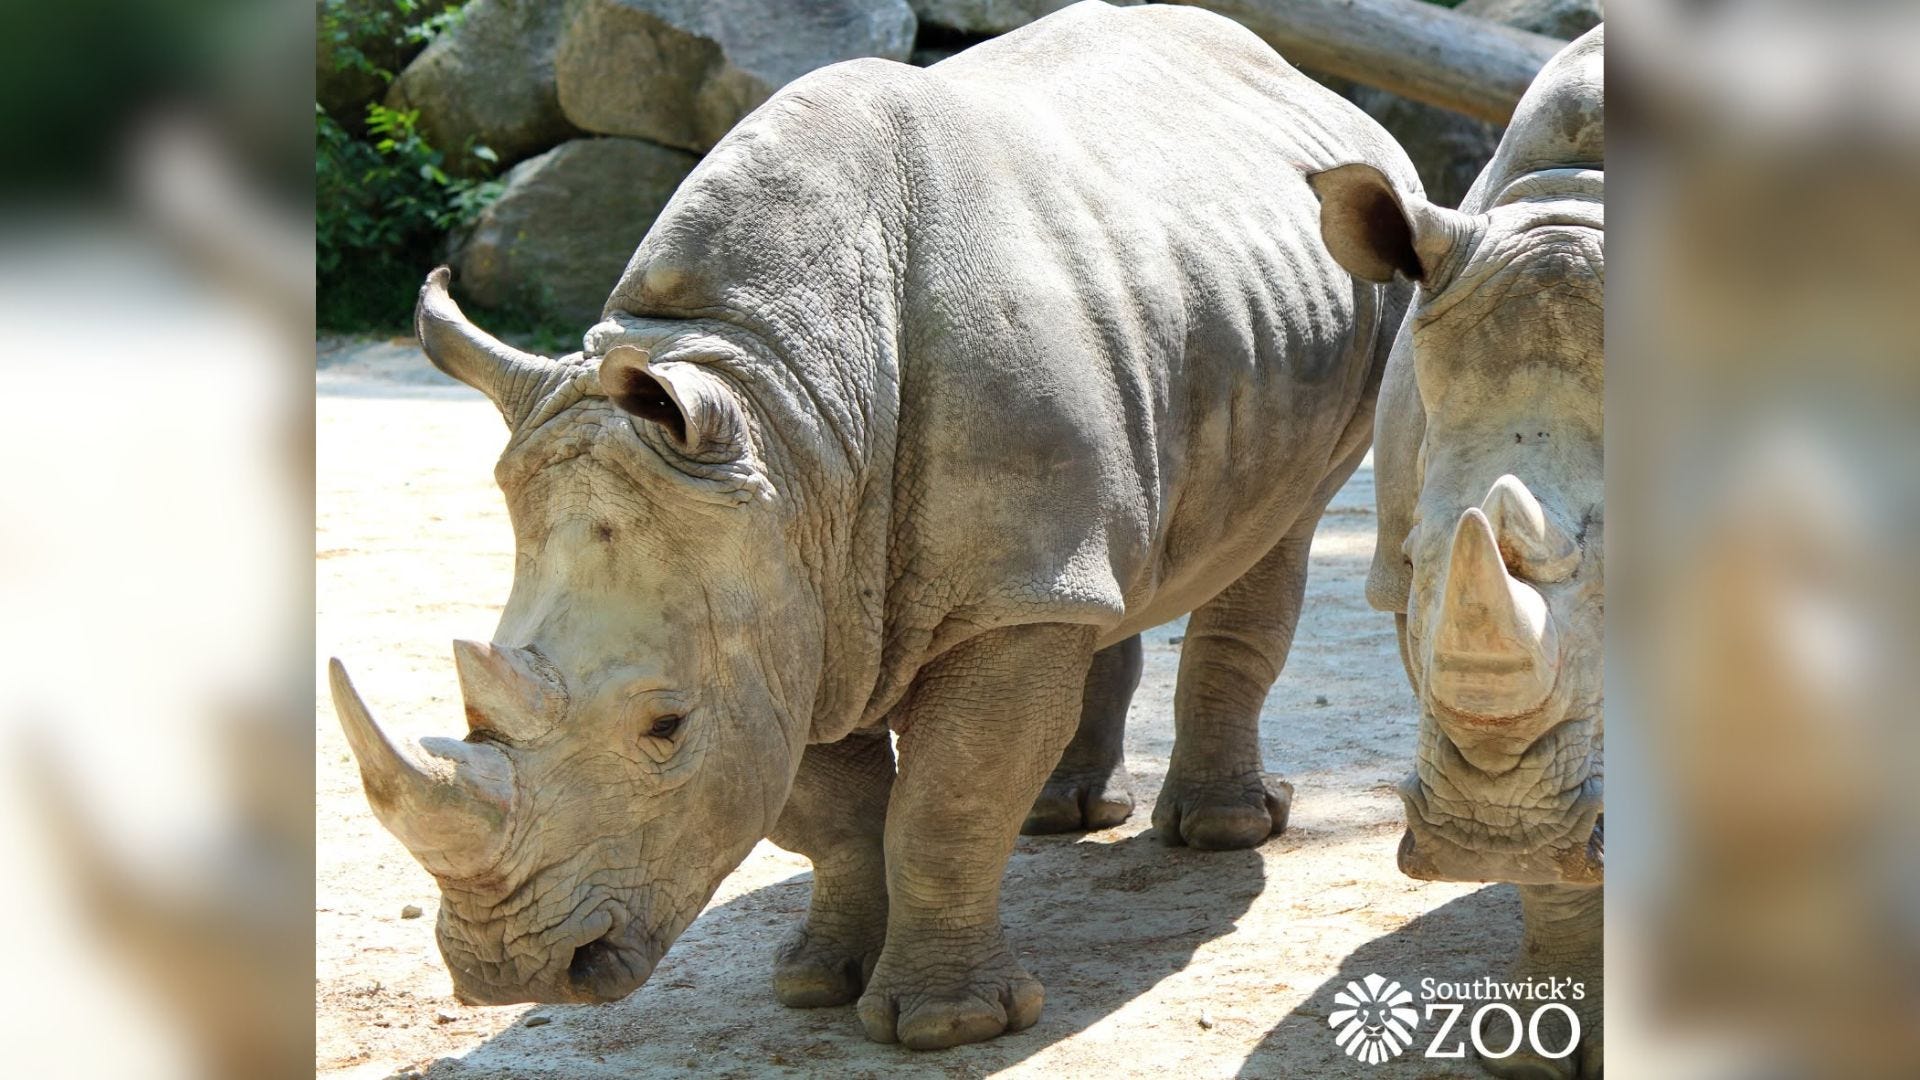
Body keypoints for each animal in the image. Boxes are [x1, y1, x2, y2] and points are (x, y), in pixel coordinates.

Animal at [329, 1, 1418, 1049]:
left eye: (666, 727)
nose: (511, 972)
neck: (779, 405)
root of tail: (1306, 83)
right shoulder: (788, 593)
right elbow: (839, 814)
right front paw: (817, 982)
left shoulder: (845, 572)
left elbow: (947, 801)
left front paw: (946, 1027)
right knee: (1102, 573)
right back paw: (1060, 816)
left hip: (1363, 289)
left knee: (1271, 535)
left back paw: (1220, 833)